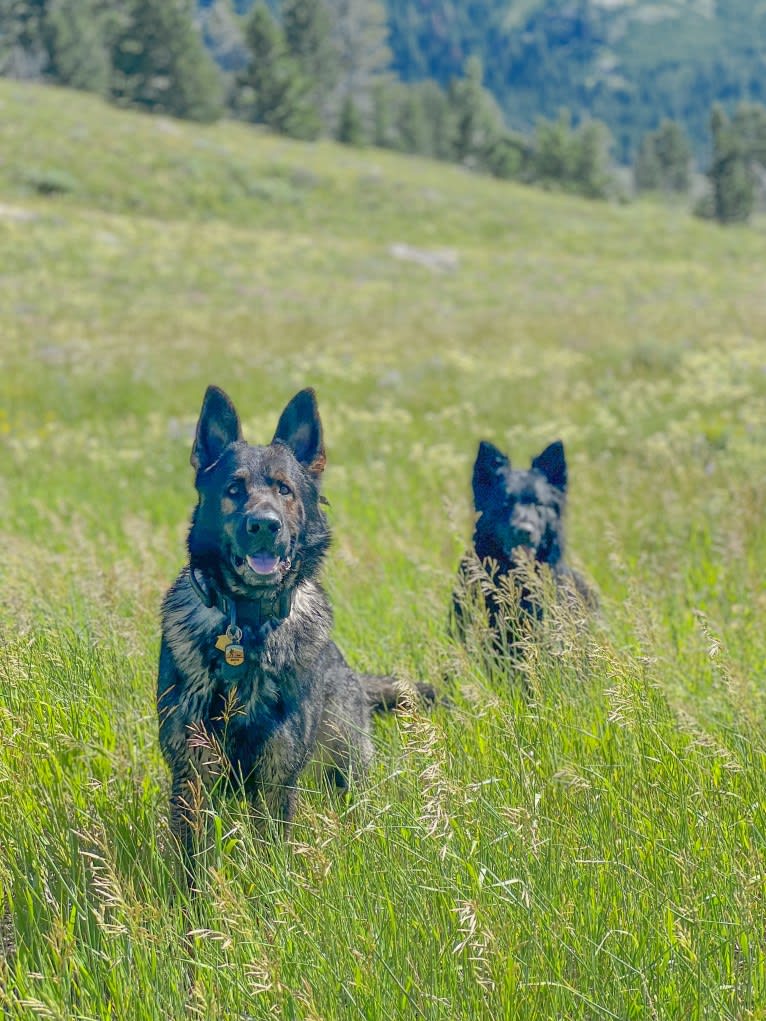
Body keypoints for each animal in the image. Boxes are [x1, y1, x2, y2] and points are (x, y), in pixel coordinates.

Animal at [155, 383, 420, 878]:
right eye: (234, 489)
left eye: (284, 489)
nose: (264, 526)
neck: (246, 628)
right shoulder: (192, 773)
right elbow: (193, 865)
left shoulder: (277, 778)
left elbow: (269, 858)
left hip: (343, 773)